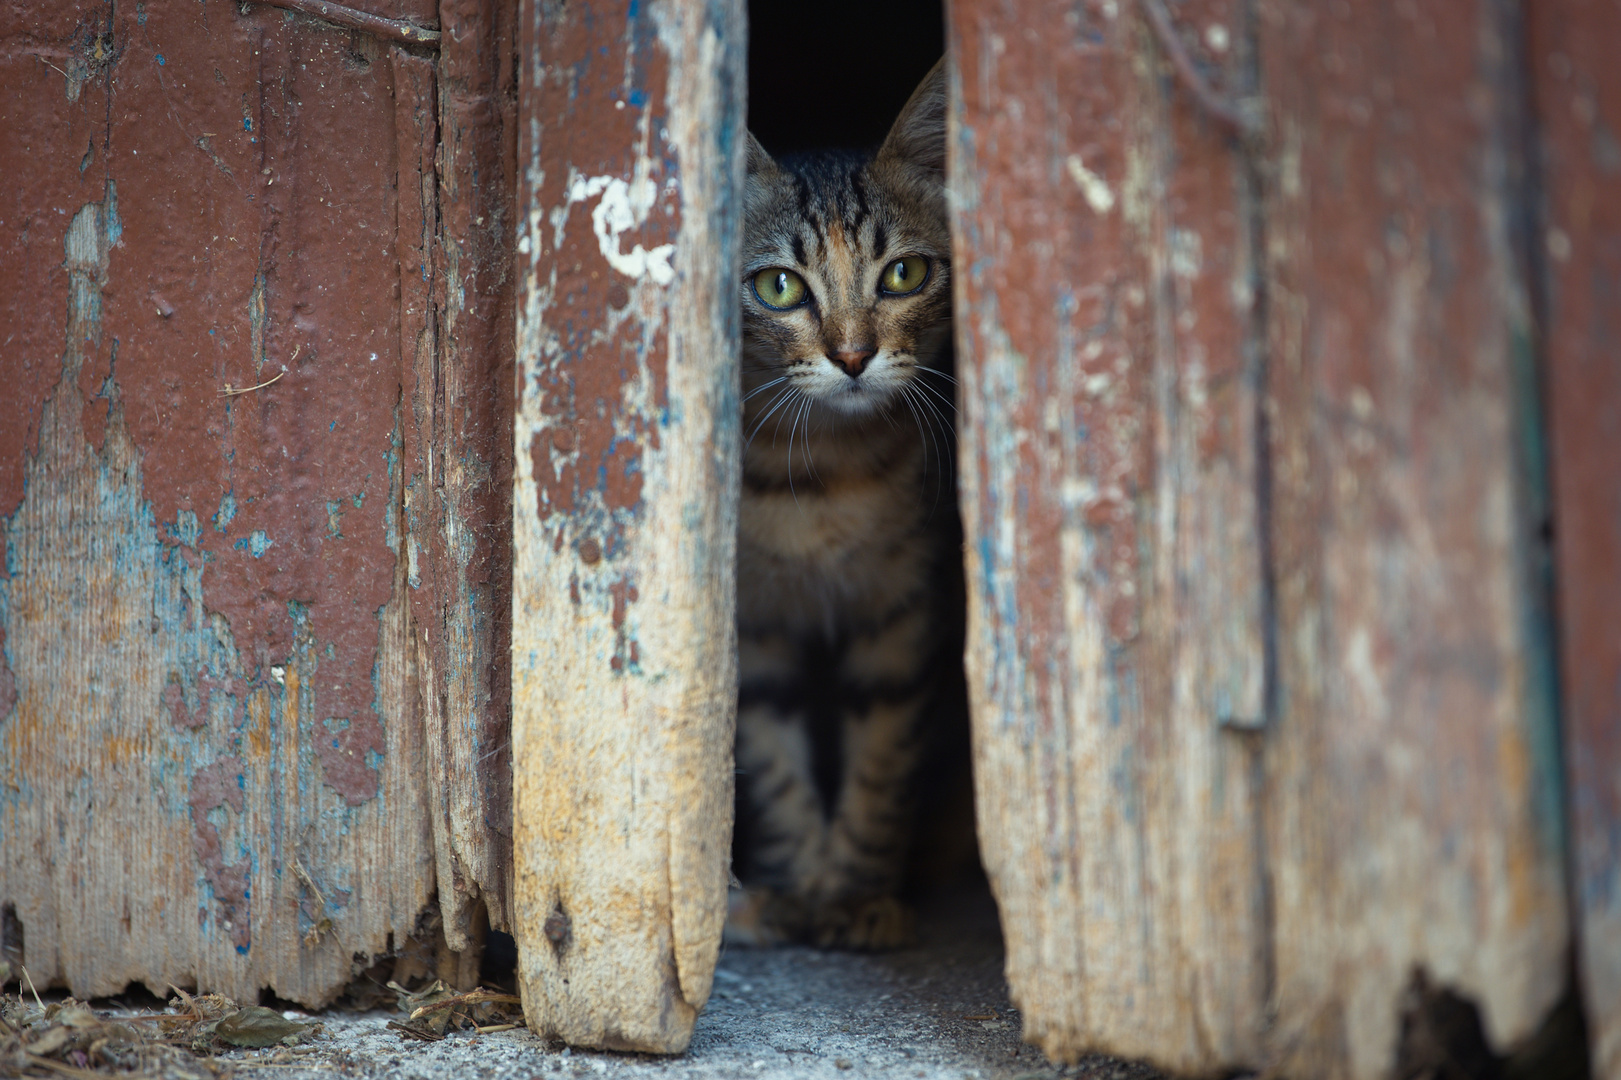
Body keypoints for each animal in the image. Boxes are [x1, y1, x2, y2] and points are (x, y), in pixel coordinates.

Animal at [729, 60, 953, 953]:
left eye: (904, 275)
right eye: (777, 286)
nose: (853, 355)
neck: (827, 469)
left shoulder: (903, 610)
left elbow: (883, 757)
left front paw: (857, 895)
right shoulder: (752, 626)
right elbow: (771, 759)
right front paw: (795, 891)